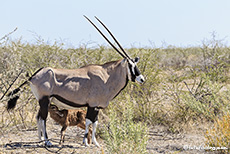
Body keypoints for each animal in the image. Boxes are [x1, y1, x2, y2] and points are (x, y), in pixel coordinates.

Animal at [7, 16, 146, 147]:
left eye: (135, 64)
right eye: (130, 65)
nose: (142, 79)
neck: (106, 76)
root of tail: (34, 75)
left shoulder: (97, 107)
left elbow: (95, 122)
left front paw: (95, 143)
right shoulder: (92, 105)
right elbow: (89, 121)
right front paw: (85, 143)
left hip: (43, 101)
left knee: (38, 117)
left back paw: (40, 140)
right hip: (44, 100)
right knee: (43, 119)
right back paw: (47, 141)